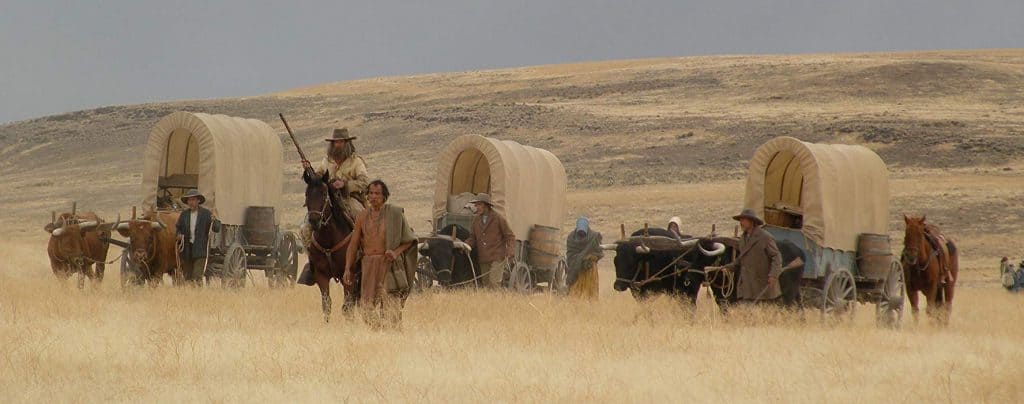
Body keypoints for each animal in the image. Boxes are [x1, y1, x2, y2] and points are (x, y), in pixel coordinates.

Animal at [304, 171, 358, 322]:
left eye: (324, 193)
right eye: (307, 194)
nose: (314, 220)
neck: (329, 241)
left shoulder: (349, 278)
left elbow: (347, 307)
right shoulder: (321, 275)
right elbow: (326, 304)